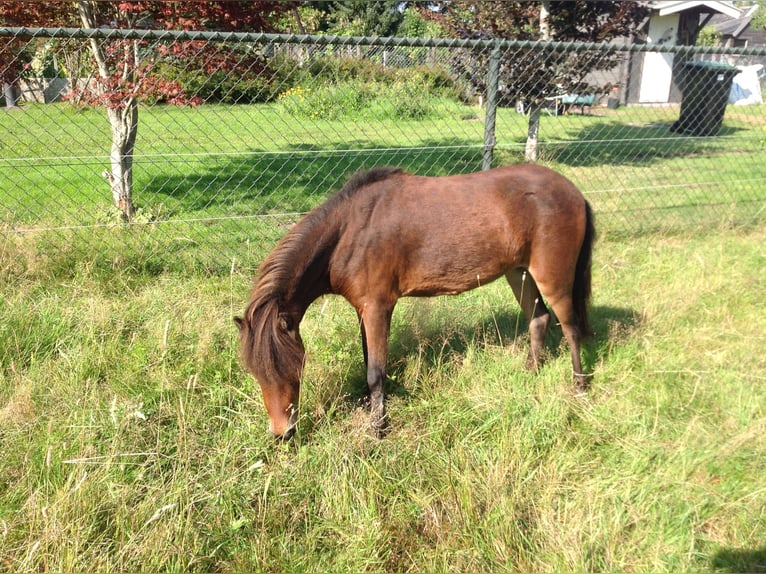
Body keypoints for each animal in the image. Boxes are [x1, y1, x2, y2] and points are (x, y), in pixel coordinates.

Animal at [235, 164, 595, 440]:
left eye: (293, 366)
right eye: (253, 371)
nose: (282, 433)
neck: (349, 233)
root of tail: (574, 192)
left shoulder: (378, 307)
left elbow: (375, 371)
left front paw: (378, 429)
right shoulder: (363, 310)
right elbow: (369, 361)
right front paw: (374, 410)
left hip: (553, 278)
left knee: (570, 327)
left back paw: (579, 387)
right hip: (519, 273)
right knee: (539, 318)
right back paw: (530, 372)